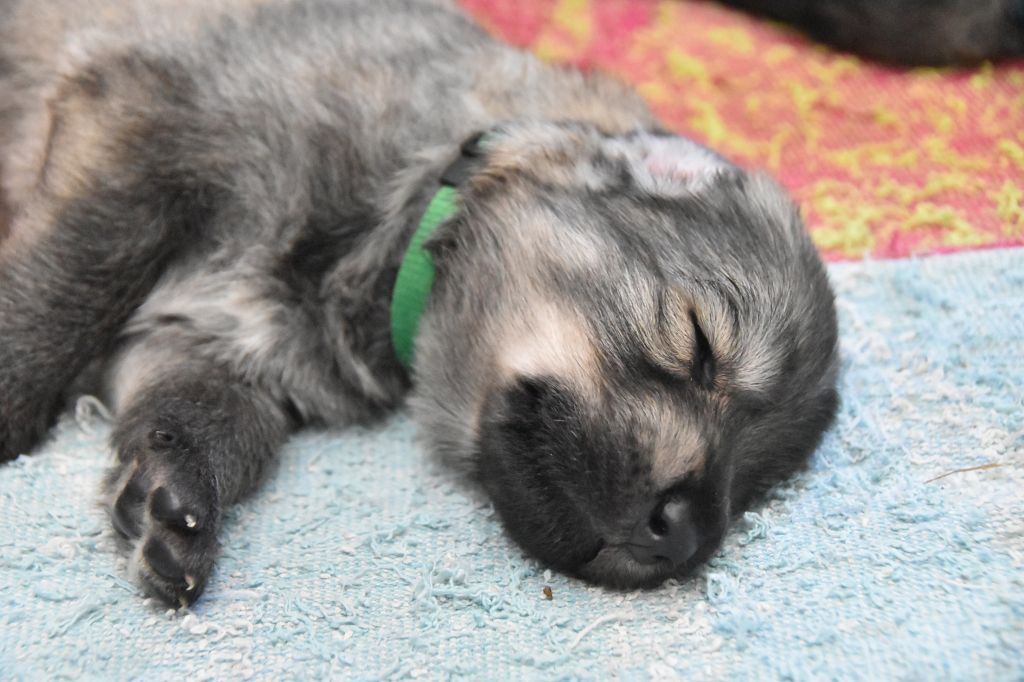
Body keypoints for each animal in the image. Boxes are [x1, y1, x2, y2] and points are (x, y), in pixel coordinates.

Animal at [0, 0, 840, 606]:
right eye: (698, 344)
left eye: (756, 484)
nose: (686, 537)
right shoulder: (141, 134)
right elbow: (60, 293)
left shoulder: (205, 343)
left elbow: (209, 418)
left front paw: (174, 503)